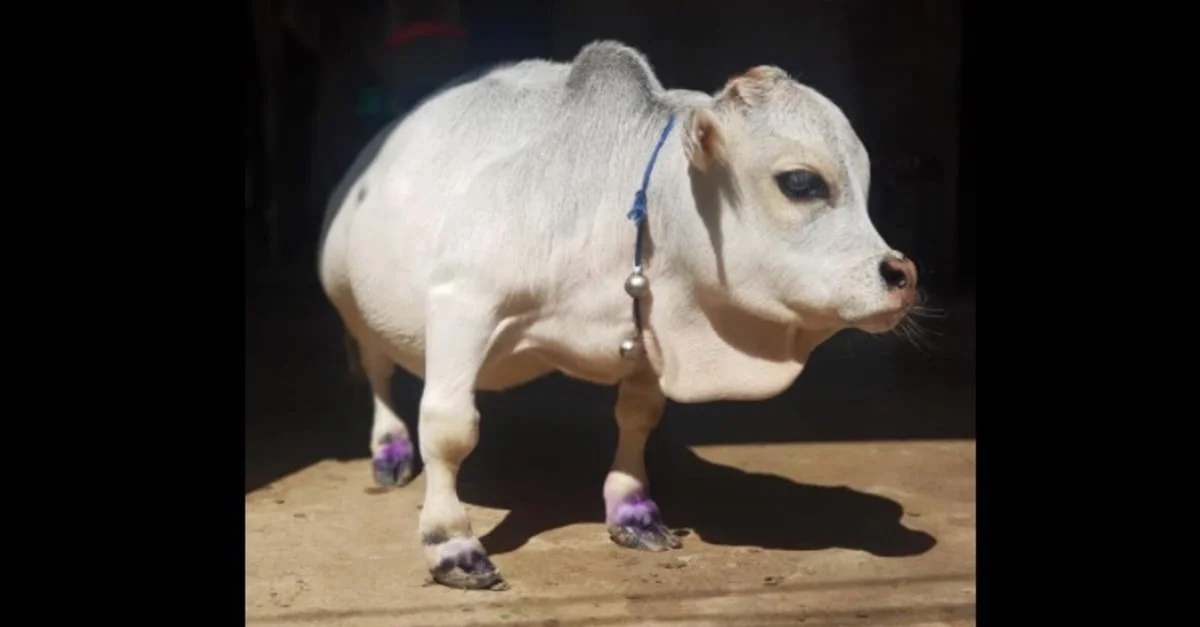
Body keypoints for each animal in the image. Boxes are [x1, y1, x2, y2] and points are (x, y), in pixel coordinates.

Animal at [317, 40, 919, 591]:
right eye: (800, 182)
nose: (901, 275)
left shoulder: (651, 330)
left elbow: (637, 418)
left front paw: (633, 510)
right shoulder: (463, 300)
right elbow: (450, 429)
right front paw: (451, 544)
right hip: (350, 298)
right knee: (377, 370)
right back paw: (390, 450)